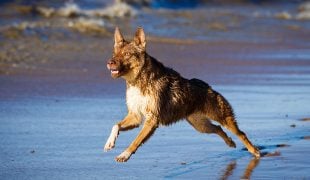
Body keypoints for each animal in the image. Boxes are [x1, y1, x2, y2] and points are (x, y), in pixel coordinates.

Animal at [104, 27, 260, 162]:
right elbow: (115, 125)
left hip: (222, 118)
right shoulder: (136, 116)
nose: (109, 62)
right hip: (200, 126)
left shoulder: (152, 119)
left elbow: (136, 141)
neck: (137, 81)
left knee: (241, 133)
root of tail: (208, 87)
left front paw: (125, 154)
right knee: (218, 128)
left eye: (127, 54)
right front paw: (110, 142)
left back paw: (255, 151)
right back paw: (230, 142)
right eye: (114, 54)